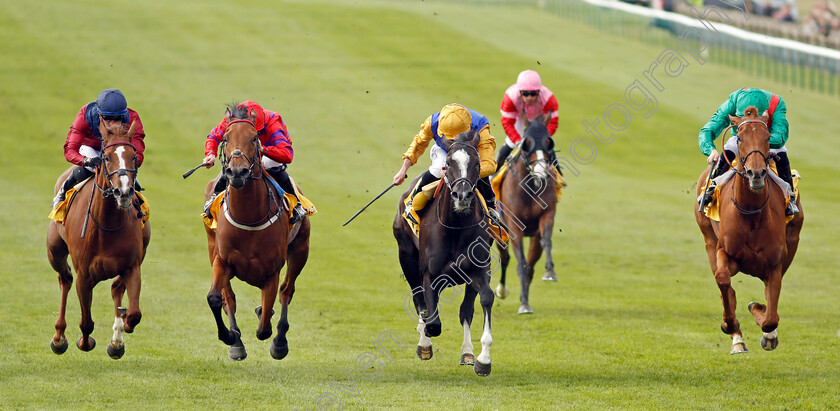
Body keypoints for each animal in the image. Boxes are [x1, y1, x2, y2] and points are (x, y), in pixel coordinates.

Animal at [46, 120, 151, 360]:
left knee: (116, 289)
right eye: (106, 157)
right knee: (65, 279)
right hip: (54, 251)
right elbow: (86, 322)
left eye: (133, 156)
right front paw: (84, 342)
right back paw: (59, 338)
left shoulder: (132, 266)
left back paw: (117, 340)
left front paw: (122, 330)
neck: (106, 226)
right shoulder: (84, 275)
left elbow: (135, 313)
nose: (124, 191)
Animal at [205, 104, 310, 362]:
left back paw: (280, 341)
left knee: (286, 291)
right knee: (229, 298)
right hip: (211, 248)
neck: (249, 217)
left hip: (300, 249)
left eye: (254, 138)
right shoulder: (222, 260)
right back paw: (237, 341)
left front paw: (271, 328)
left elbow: (264, 328)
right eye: (225, 137)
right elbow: (216, 298)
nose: (237, 172)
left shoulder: (272, 270)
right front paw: (231, 337)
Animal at [392, 131, 492, 376]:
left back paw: (467, 352)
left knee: (465, 310)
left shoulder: (479, 271)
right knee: (420, 301)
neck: (455, 227)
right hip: (406, 257)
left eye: (477, 164)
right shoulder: (429, 275)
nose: (462, 195)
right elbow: (432, 320)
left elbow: (484, 299)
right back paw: (424, 343)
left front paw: (483, 359)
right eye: (448, 163)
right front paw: (425, 339)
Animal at [492, 116, 556, 316]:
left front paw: (550, 272)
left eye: (548, 142)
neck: (531, 187)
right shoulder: (514, 227)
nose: (541, 173)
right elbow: (520, 263)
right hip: (499, 232)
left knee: (531, 265)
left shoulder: (547, 215)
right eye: (526, 143)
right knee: (505, 258)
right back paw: (502, 290)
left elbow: (546, 241)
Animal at [692, 108, 804, 356]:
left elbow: (771, 316)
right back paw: (737, 339)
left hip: (793, 241)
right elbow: (723, 280)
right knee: (725, 286)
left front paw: (766, 327)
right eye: (740, 138)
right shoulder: (724, 252)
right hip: (708, 240)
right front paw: (730, 325)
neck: (752, 213)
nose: (756, 173)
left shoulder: (775, 263)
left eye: (767, 137)